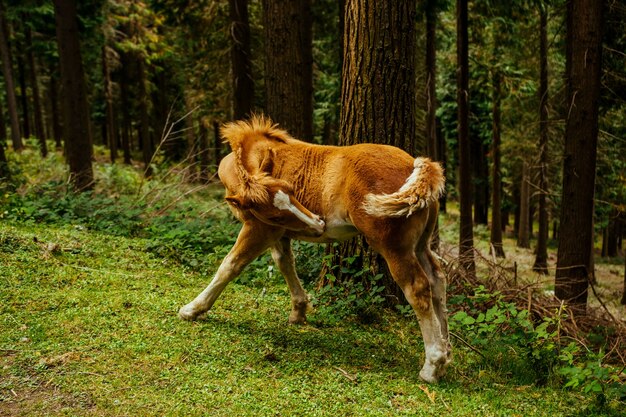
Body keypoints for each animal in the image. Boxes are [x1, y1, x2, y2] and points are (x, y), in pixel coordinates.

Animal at [178, 115, 450, 382]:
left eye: (291, 191)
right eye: (276, 213)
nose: (319, 224)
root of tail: (416, 166)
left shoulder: (259, 230)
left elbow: (230, 265)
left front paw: (193, 308)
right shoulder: (278, 232)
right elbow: (285, 262)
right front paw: (299, 311)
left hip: (395, 248)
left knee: (418, 288)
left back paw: (431, 366)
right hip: (420, 246)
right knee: (437, 279)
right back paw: (446, 353)